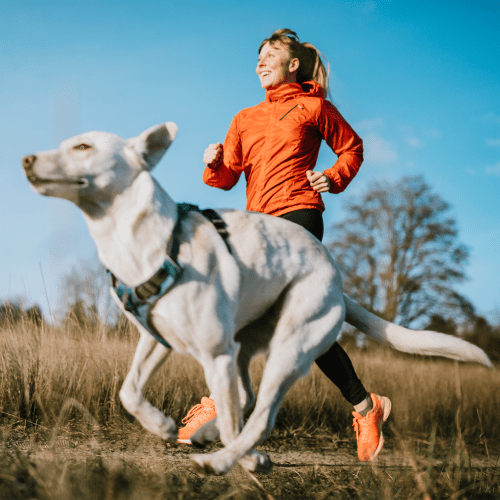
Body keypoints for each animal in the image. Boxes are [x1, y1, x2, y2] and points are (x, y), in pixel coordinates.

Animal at [22, 123, 492, 474]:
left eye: (83, 146)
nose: (25, 159)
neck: (141, 240)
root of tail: (336, 277)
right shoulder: (157, 339)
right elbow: (130, 393)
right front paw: (162, 425)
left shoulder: (214, 354)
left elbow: (235, 418)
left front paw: (236, 457)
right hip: (245, 345)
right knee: (244, 401)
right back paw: (215, 440)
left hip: (289, 350)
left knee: (260, 415)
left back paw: (223, 460)